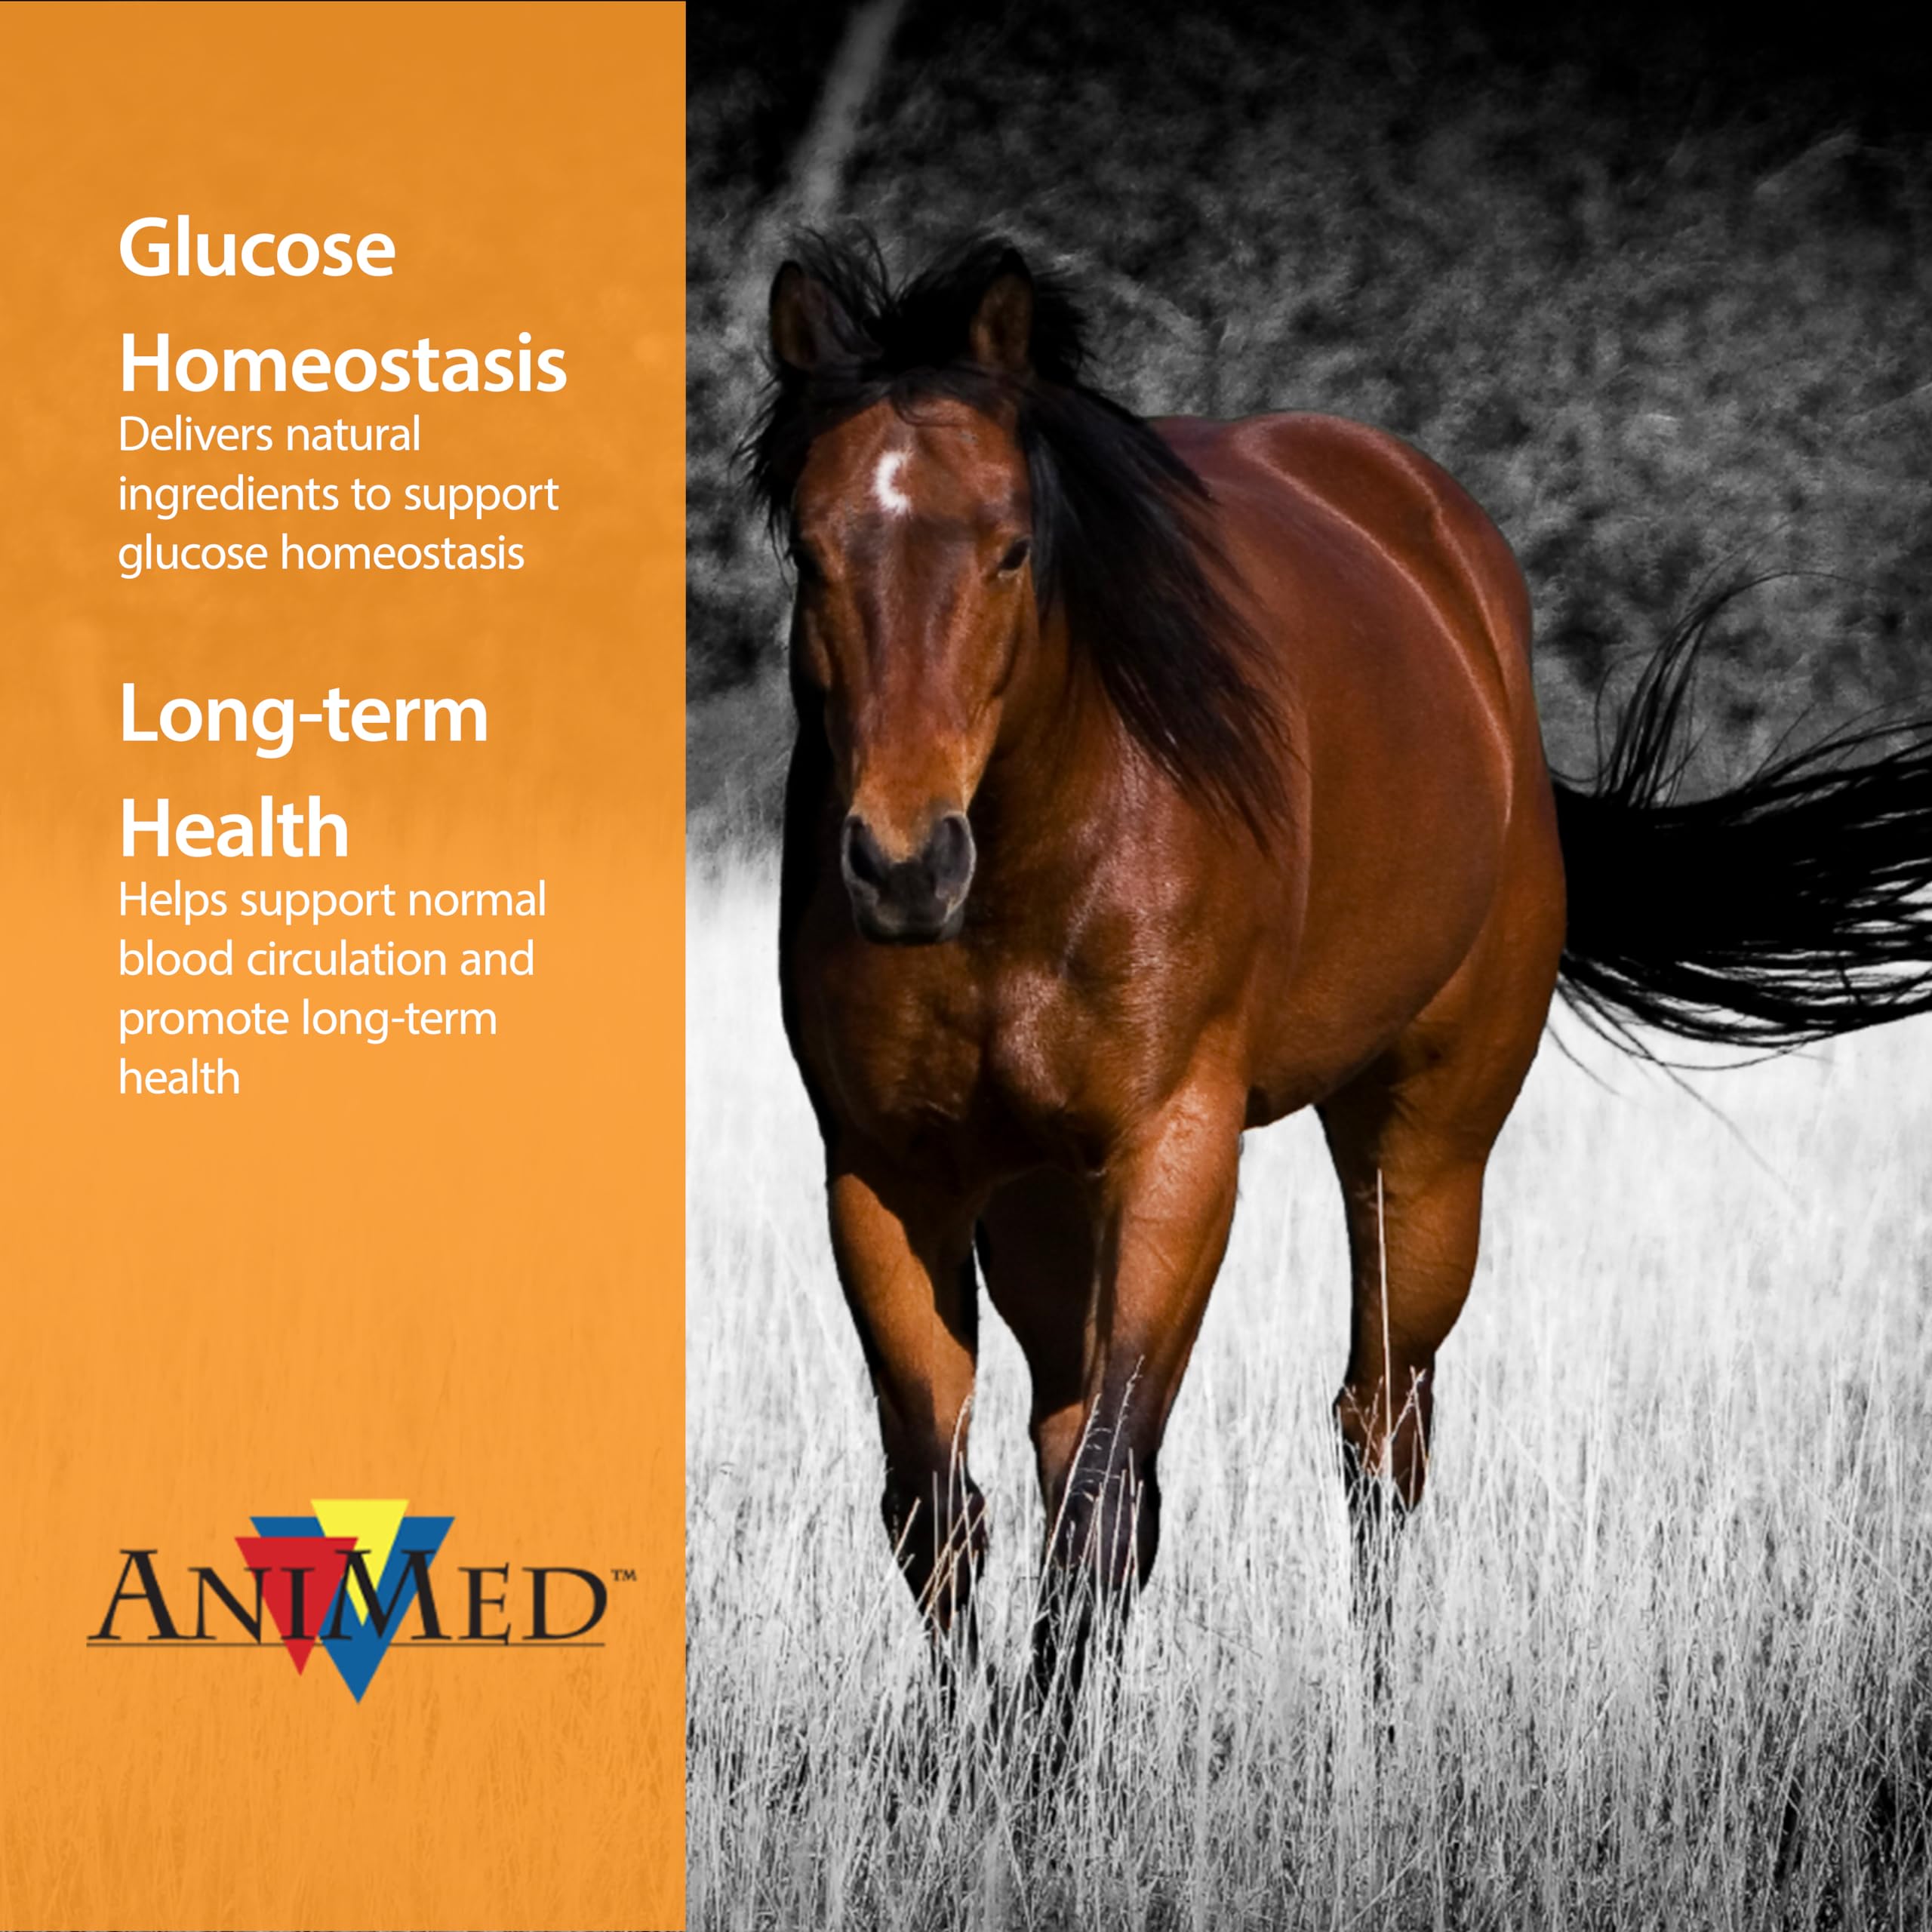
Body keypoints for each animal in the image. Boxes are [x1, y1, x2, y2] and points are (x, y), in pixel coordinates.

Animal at [748, 233, 1932, 1707]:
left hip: (1420, 1146)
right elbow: (939, 1512)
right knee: (1070, 1437)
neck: (1032, 860)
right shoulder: (887, 1173)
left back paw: (1380, 1715)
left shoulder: (1177, 1152)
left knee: (1379, 1427)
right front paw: (987, 1752)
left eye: (1013, 548)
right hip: (1041, 1199)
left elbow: (1101, 1509)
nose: (904, 864)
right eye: (812, 551)